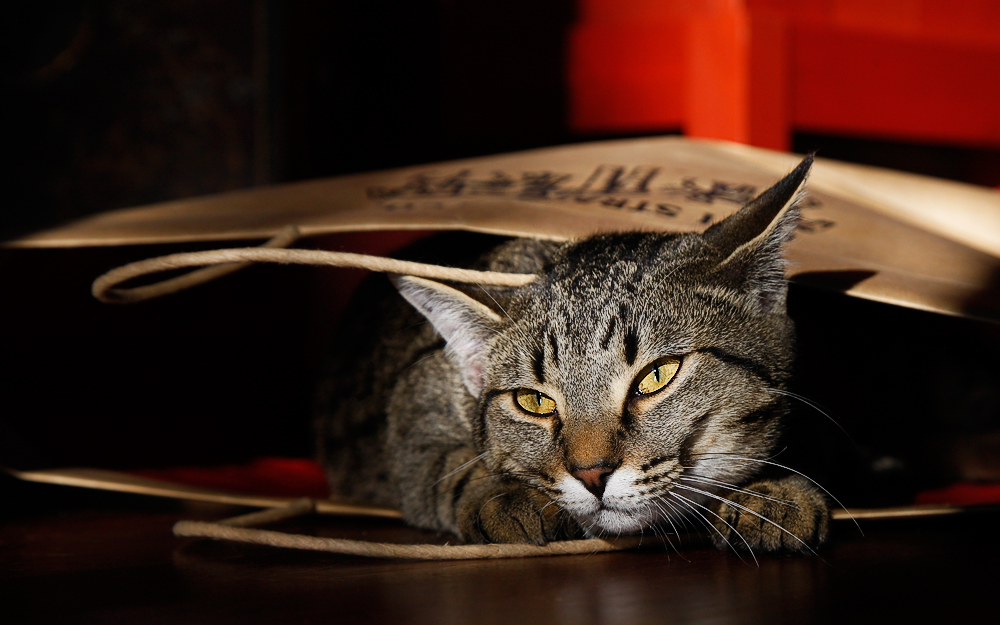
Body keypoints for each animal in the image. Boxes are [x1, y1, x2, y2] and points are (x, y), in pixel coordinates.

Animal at [318, 156, 828, 552]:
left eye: (657, 376)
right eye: (534, 401)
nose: (592, 474)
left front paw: (776, 493)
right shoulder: (414, 421)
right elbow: (453, 466)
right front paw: (503, 496)